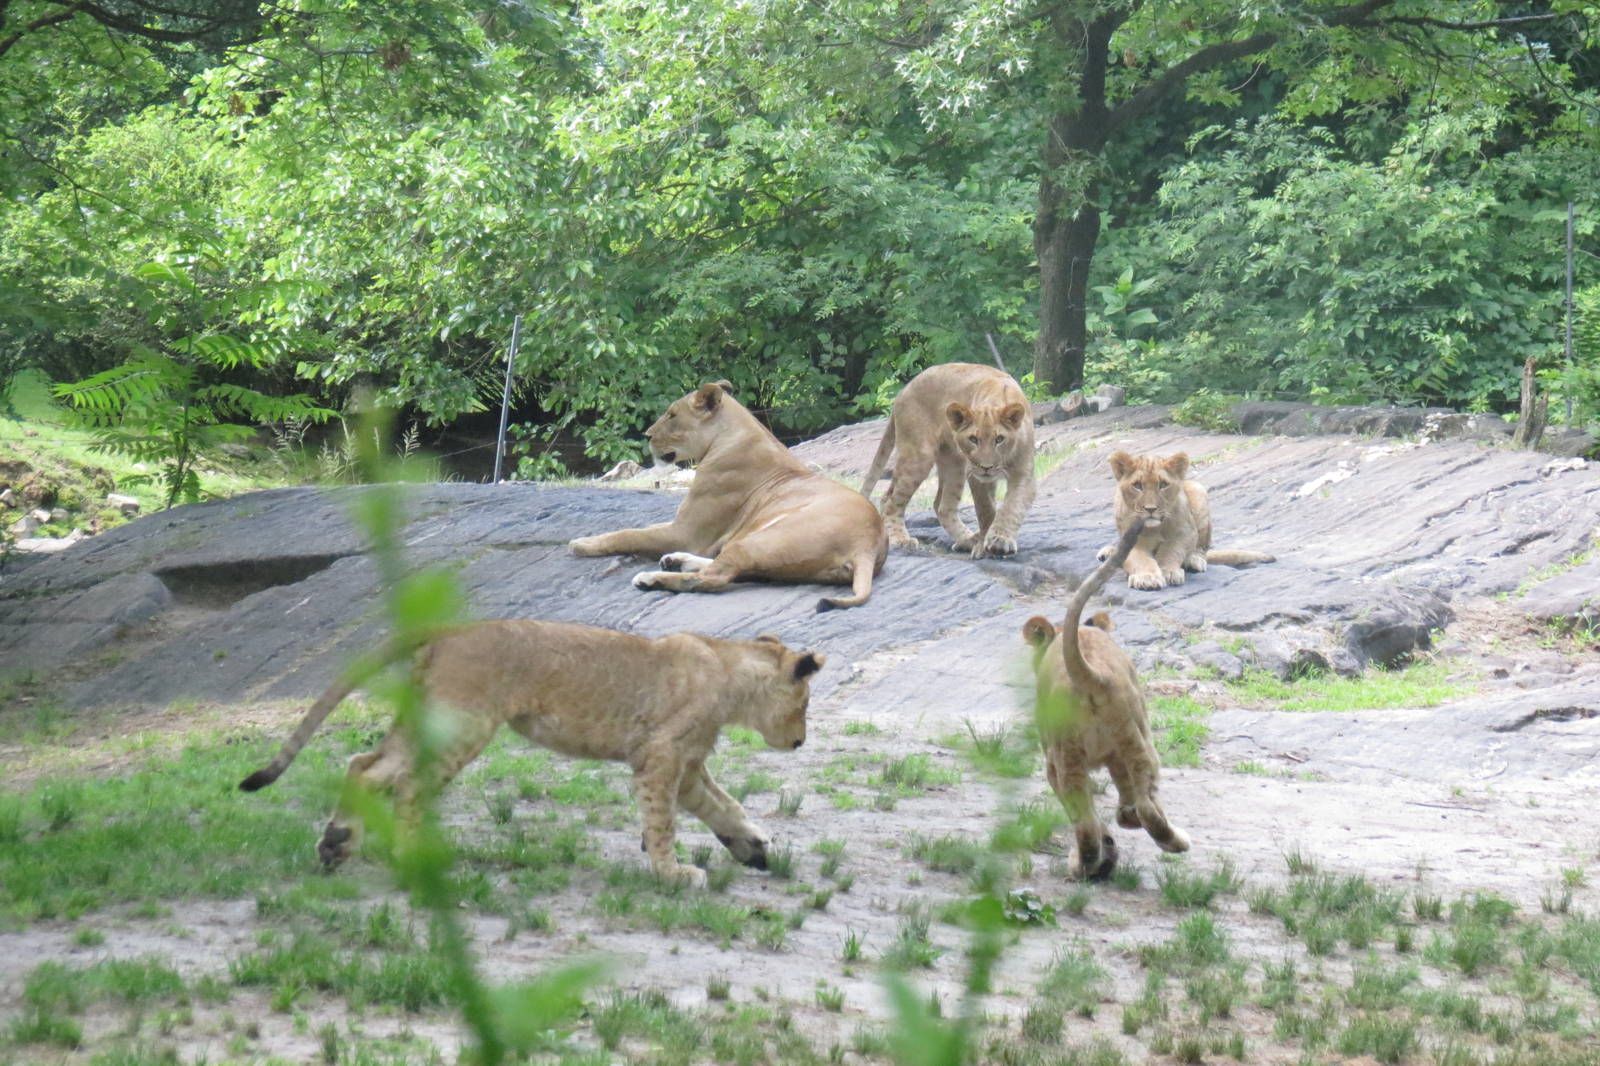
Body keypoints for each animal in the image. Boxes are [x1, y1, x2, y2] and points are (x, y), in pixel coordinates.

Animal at [239, 619, 825, 889]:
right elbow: (663, 822)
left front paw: (752, 848)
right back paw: (410, 858)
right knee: (407, 783)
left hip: (431, 716)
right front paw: (672, 872)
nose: (800, 741)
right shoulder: (660, 756)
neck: (729, 673)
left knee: (365, 766)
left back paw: (336, 845)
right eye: (805, 702)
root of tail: (450, 628)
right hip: (465, 724)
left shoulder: (687, 764)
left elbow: (723, 806)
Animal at [569, 382, 888, 611]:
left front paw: (582, 544)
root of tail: (867, 545)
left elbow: (628, 534)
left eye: (672, 415)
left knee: (714, 578)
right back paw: (675, 560)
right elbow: (640, 529)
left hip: (765, 539)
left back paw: (651, 578)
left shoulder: (685, 532)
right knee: (735, 568)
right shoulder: (683, 529)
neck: (731, 435)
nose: (647, 435)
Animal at [859, 362, 1036, 559]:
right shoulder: (975, 476)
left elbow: (1013, 506)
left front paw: (999, 540)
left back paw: (967, 540)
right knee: (893, 501)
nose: (986, 467)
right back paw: (902, 539)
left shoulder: (1024, 473)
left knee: (941, 506)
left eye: (999, 439)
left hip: (953, 462)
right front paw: (985, 544)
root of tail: (903, 391)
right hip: (919, 457)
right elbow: (986, 510)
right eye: (973, 439)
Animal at [1022, 518, 1190, 880]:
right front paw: (1120, 831)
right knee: (1144, 805)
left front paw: (1110, 844)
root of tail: (1090, 675)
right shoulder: (1119, 752)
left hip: (1066, 756)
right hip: (1136, 740)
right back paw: (1168, 840)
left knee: (1085, 823)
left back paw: (1087, 863)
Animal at [1097, 450, 1275, 590]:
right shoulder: (1130, 539)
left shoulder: (1185, 532)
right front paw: (1147, 578)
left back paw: (1194, 561)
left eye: (1163, 484)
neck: (1154, 528)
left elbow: (1172, 551)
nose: (1150, 509)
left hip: (1198, 490)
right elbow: (1140, 559)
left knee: (1202, 550)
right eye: (1137, 485)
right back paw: (1109, 554)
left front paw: (1169, 572)